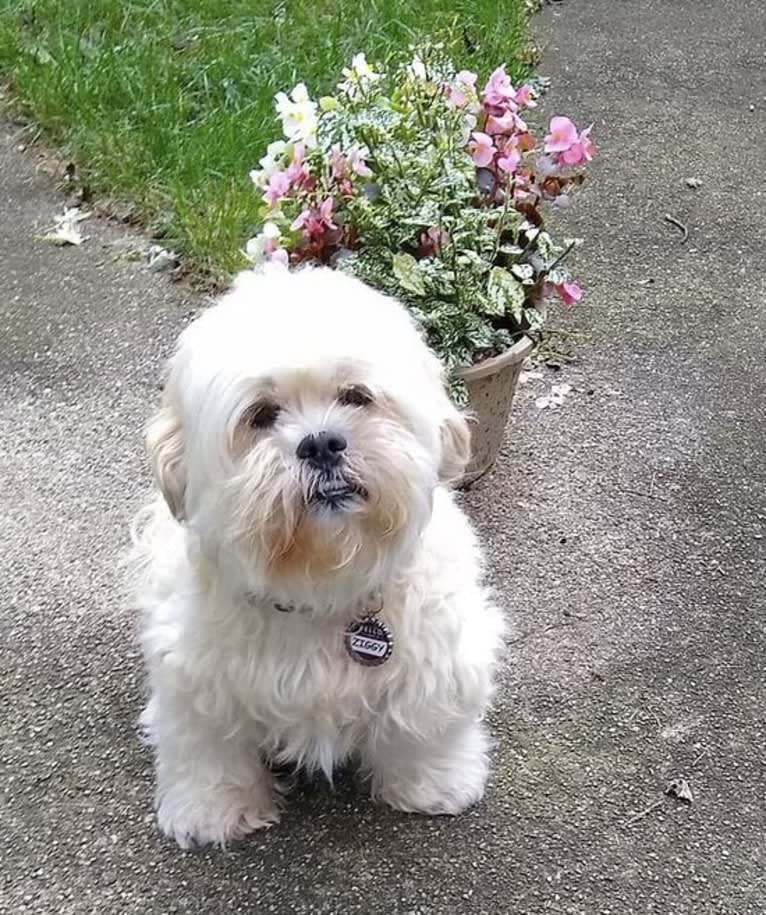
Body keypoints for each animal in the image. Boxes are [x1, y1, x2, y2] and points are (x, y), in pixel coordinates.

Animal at [130, 266, 508, 852]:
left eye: (356, 396)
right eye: (262, 415)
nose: (322, 444)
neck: (322, 580)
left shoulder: (440, 652)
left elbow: (427, 725)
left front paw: (435, 783)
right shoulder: (192, 674)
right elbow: (207, 746)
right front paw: (212, 809)